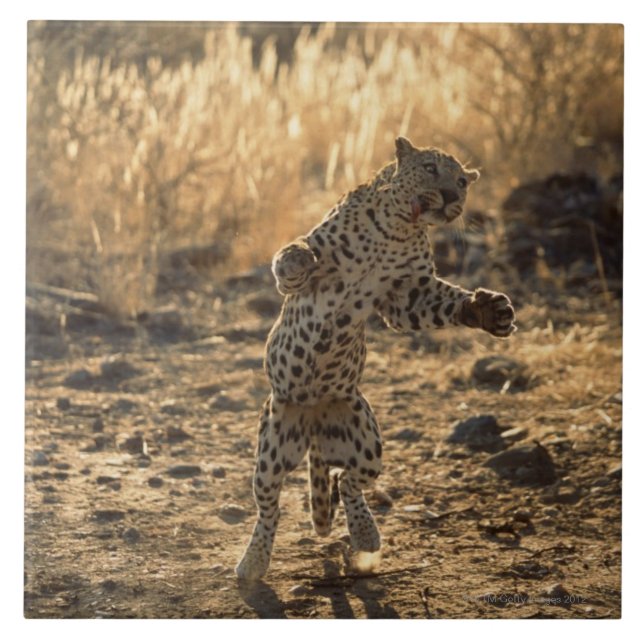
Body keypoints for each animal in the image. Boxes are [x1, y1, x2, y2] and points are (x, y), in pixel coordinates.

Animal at [235, 136, 516, 580]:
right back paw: (252, 563)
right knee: (269, 507)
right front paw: (299, 258)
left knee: (348, 482)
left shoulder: (406, 295)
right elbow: (295, 256)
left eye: (461, 182)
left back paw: (365, 536)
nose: (451, 197)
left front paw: (488, 311)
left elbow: (440, 303)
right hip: (270, 448)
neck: (396, 230)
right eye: (431, 168)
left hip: (367, 440)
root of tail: (314, 419)